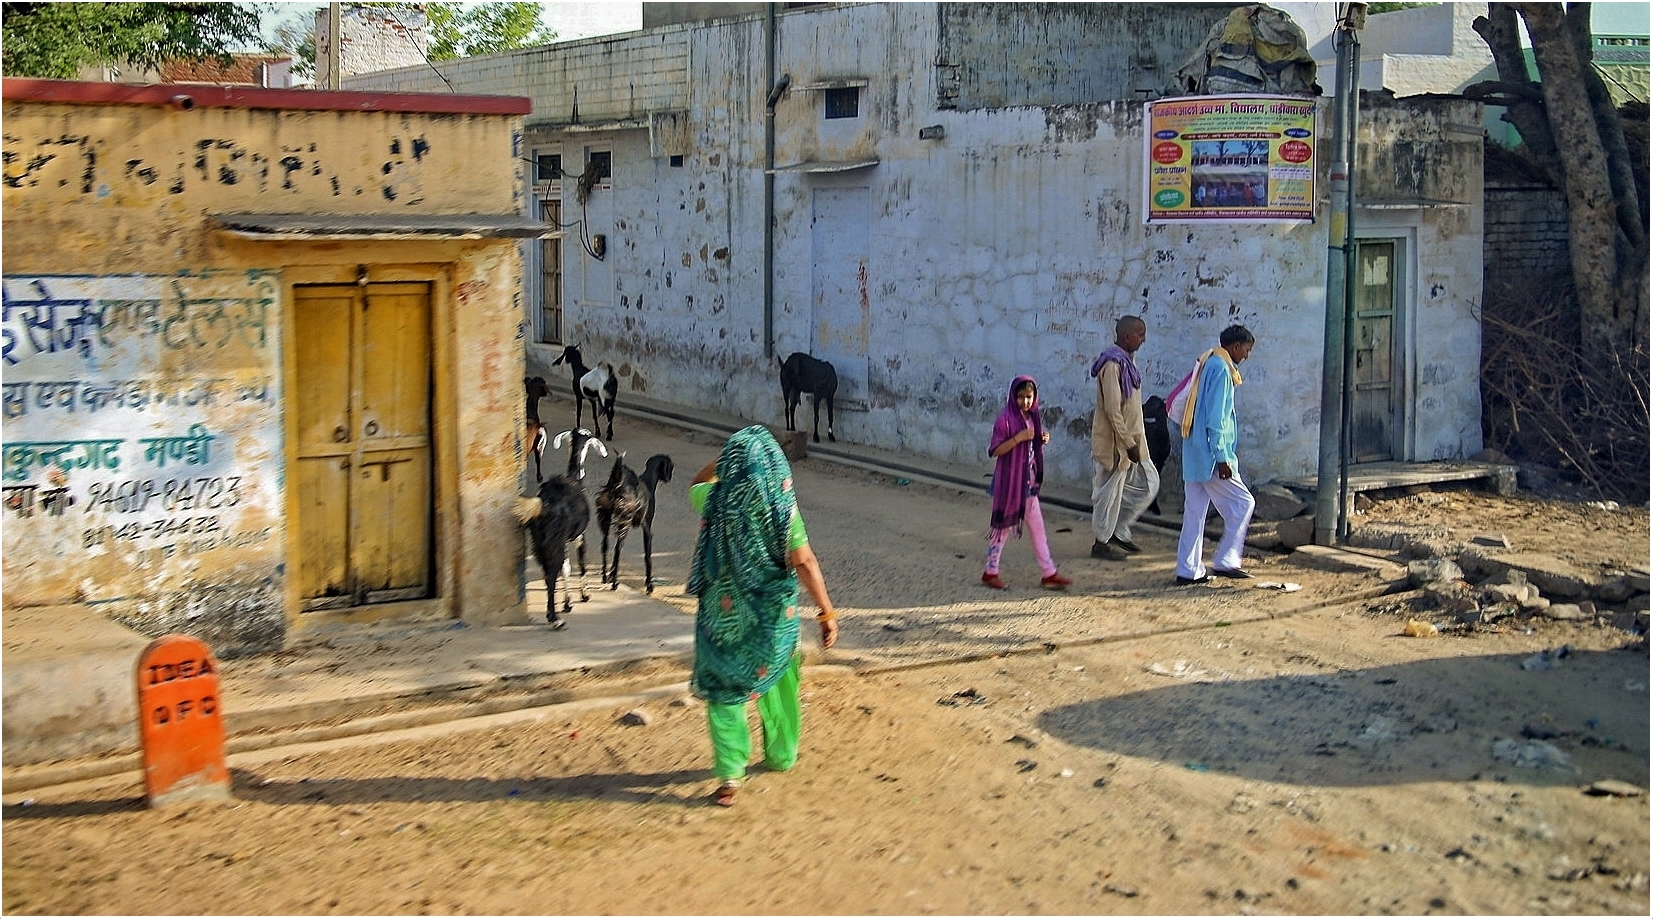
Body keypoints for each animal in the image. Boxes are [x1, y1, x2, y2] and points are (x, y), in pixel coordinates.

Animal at [595, 452, 671, 595]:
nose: (669, 478)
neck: (648, 483)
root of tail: (616, 485)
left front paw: (610, 575)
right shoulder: (647, 529)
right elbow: (648, 557)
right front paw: (649, 585)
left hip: (606, 519)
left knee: (605, 545)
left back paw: (604, 577)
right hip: (623, 522)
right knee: (617, 549)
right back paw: (614, 584)